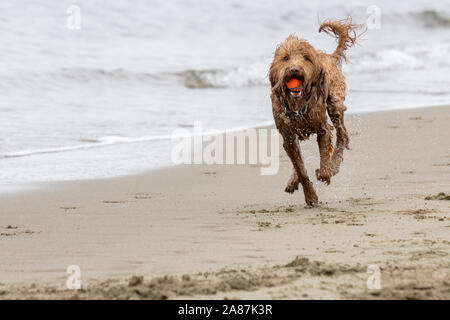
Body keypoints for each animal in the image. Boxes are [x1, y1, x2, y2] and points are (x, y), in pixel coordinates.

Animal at [268, 20, 360, 206]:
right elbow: (300, 167)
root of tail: (330, 57)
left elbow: (324, 157)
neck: (298, 105)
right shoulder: (288, 137)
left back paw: (334, 165)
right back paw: (293, 180)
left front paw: (325, 172)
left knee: (343, 135)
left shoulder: (322, 128)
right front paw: (310, 195)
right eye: (285, 58)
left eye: (306, 58)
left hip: (334, 104)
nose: (294, 69)